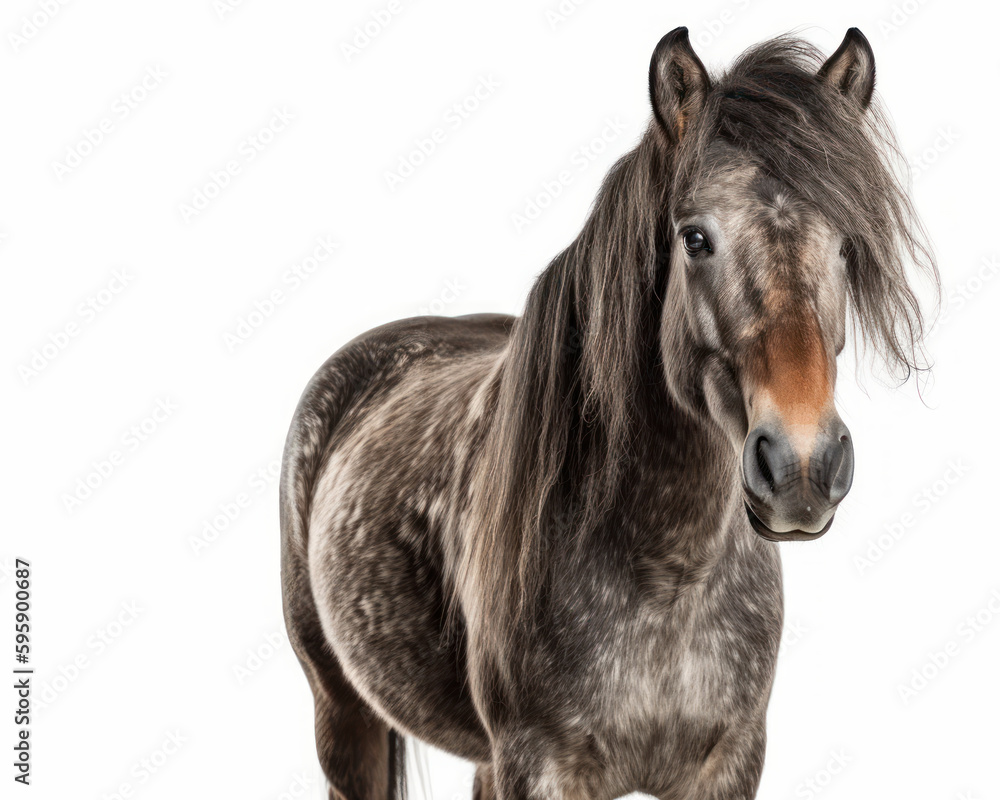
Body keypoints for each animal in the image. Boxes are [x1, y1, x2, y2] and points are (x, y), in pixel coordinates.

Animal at [280, 27, 936, 800]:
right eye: (695, 238)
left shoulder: (730, 763)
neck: (668, 578)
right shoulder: (539, 766)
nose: (802, 465)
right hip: (343, 712)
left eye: (846, 243)